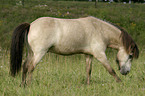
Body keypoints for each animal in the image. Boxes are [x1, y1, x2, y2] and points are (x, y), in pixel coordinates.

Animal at [10, 16, 139, 85]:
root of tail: (30, 25)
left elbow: (88, 70)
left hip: (31, 53)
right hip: (39, 53)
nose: (126, 72)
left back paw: (23, 85)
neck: (100, 30)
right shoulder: (100, 55)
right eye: (130, 55)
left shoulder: (88, 55)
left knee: (25, 66)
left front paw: (87, 85)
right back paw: (29, 84)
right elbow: (110, 70)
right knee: (31, 67)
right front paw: (120, 83)